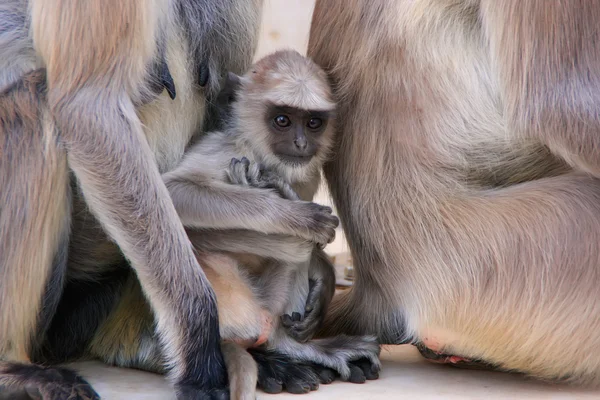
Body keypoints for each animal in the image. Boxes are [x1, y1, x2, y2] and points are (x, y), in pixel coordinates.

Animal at [164, 50, 380, 396]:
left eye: (313, 122)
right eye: (282, 121)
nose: (301, 143)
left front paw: (324, 278)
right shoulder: (227, 151)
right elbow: (175, 191)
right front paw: (296, 215)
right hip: (234, 295)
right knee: (292, 244)